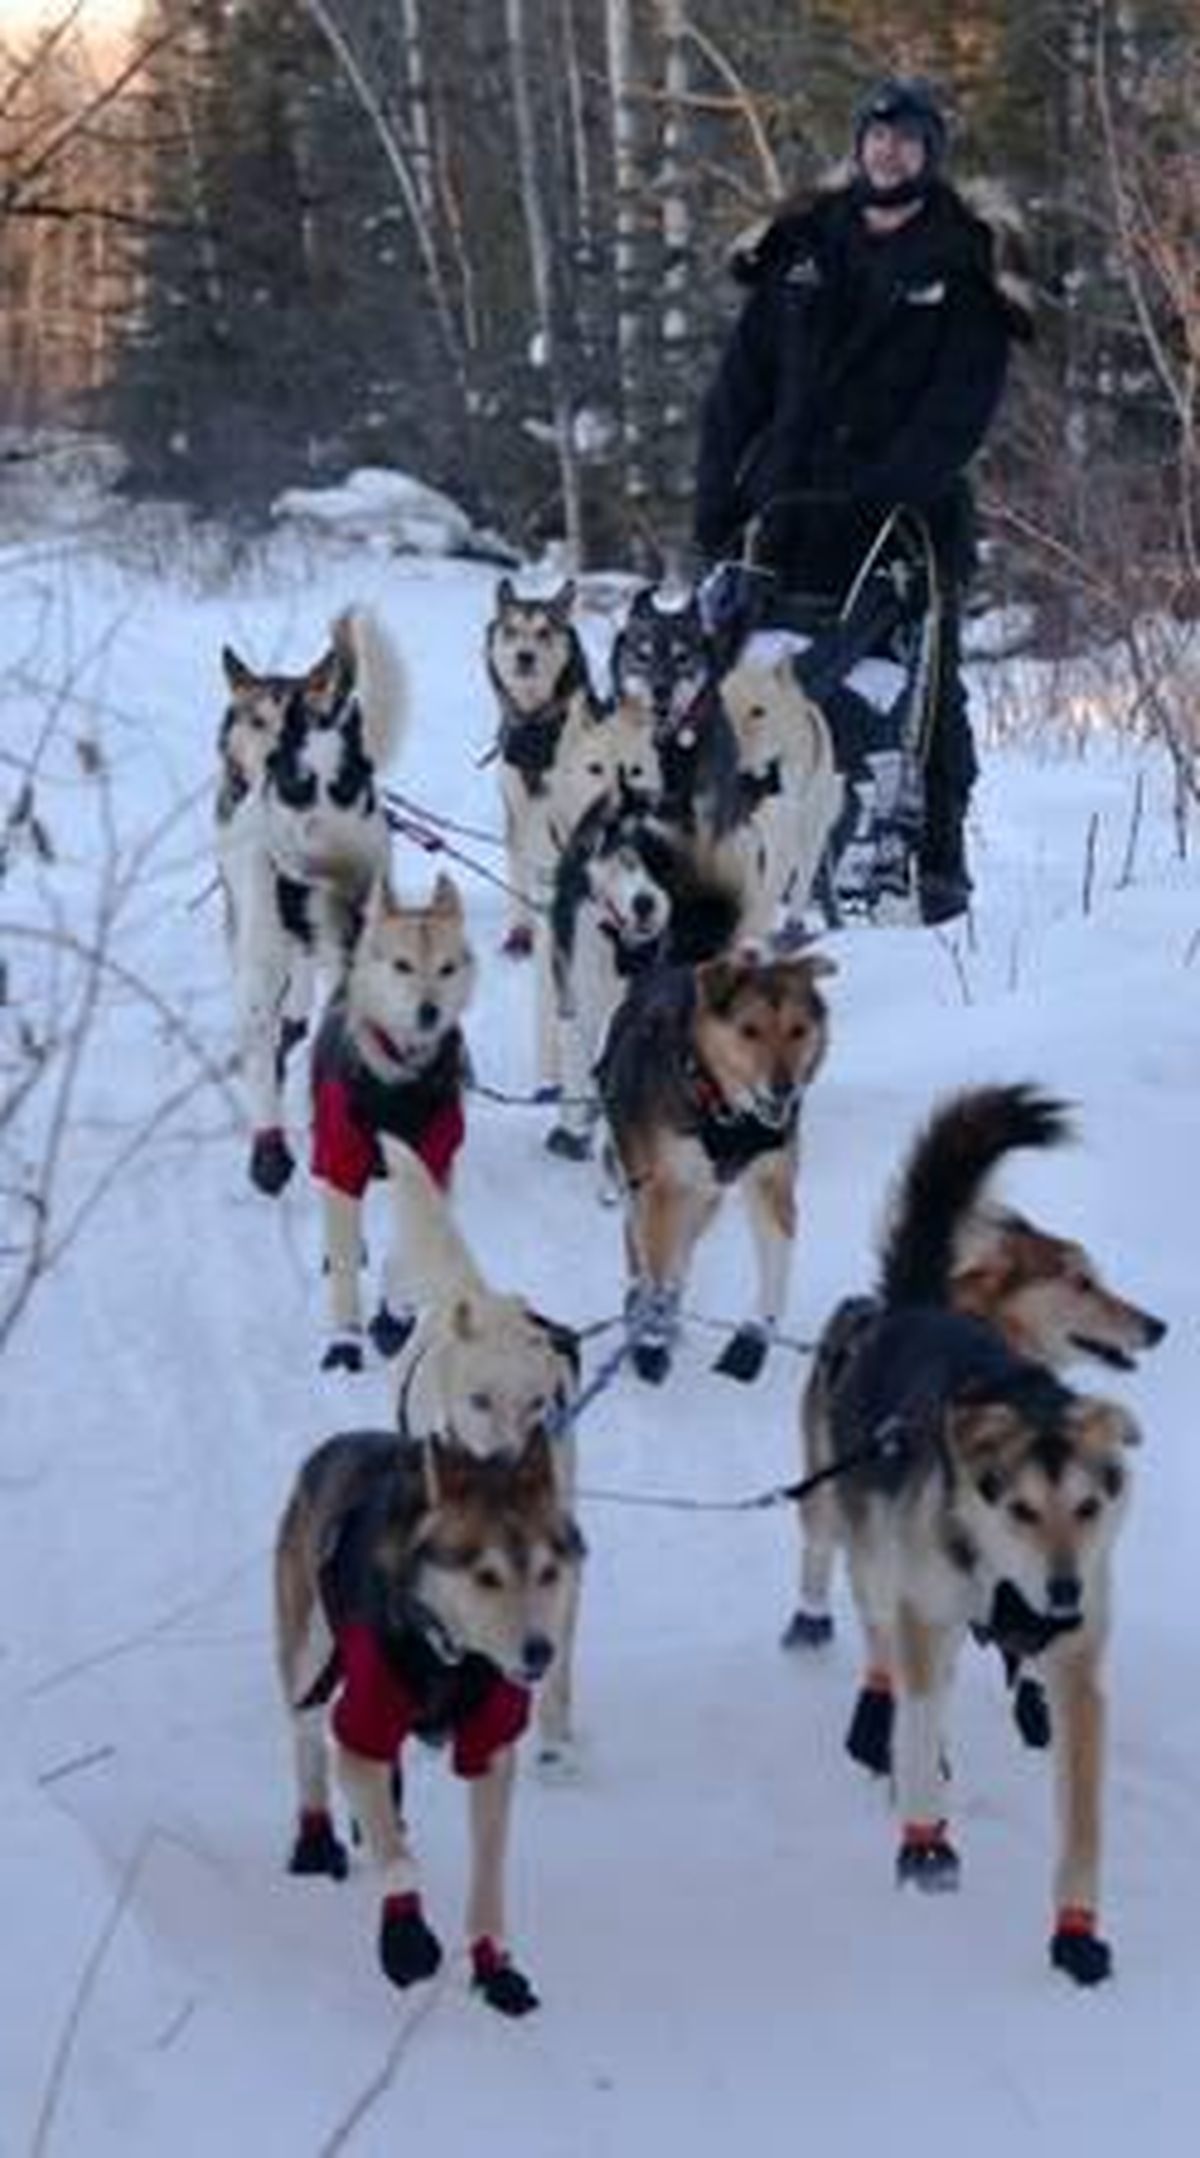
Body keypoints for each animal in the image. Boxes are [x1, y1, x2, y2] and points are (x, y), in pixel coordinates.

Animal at [600, 953, 833, 1389]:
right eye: (749, 1030)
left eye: (797, 1030)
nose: (783, 1089)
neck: (724, 1111)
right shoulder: (661, 1192)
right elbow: (655, 1270)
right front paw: (651, 1340)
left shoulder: (770, 1182)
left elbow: (777, 1260)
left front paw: (754, 1336)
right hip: (648, 1188)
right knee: (642, 1250)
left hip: (705, 1199)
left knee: (681, 1255)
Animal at [794, 1087, 1148, 1976]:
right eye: (1019, 1508)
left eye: (1087, 1509)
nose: (1062, 1591)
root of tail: (914, 1306)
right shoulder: (926, 1612)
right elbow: (921, 1732)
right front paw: (925, 1843)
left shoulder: (1080, 1666)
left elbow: (1082, 1814)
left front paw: (1076, 1930)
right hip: (869, 1551)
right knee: (880, 1645)